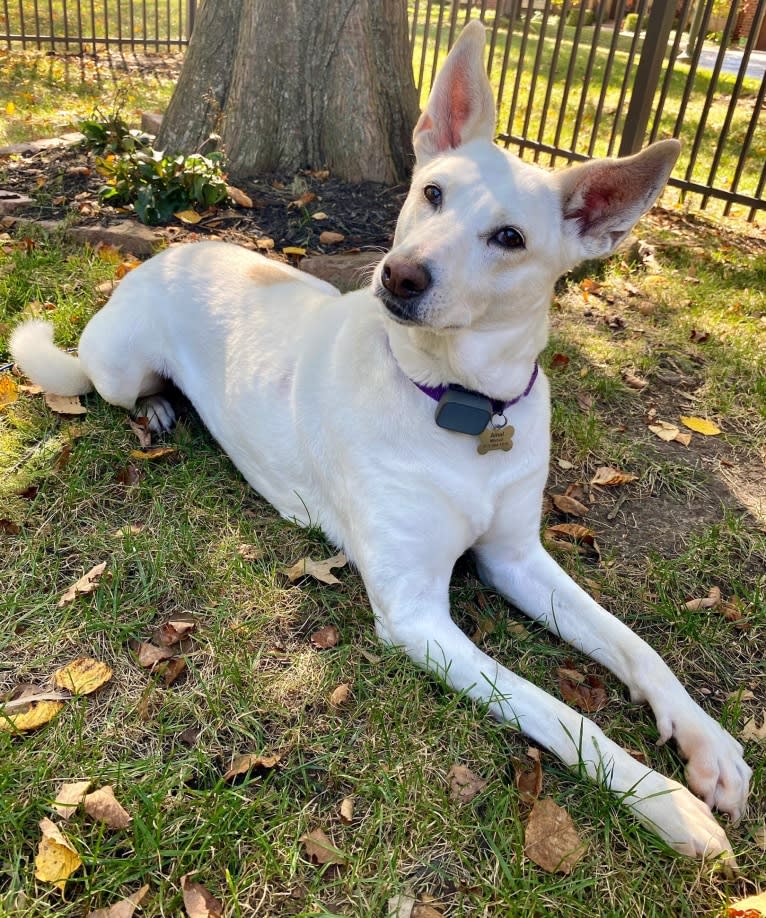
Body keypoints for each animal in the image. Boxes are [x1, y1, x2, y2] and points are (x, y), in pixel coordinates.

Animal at [15, 19, 752, 864]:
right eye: (431, 193)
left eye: (509, 237)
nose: (399, 276)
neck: (461, 407)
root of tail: (170, 252)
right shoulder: (416, 614)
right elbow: (560, 712)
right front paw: (665, 802)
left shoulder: (517, 557)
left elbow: (634, 646)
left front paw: (708, 746)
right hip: (116, 366)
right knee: (126, 387)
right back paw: (160, 411)